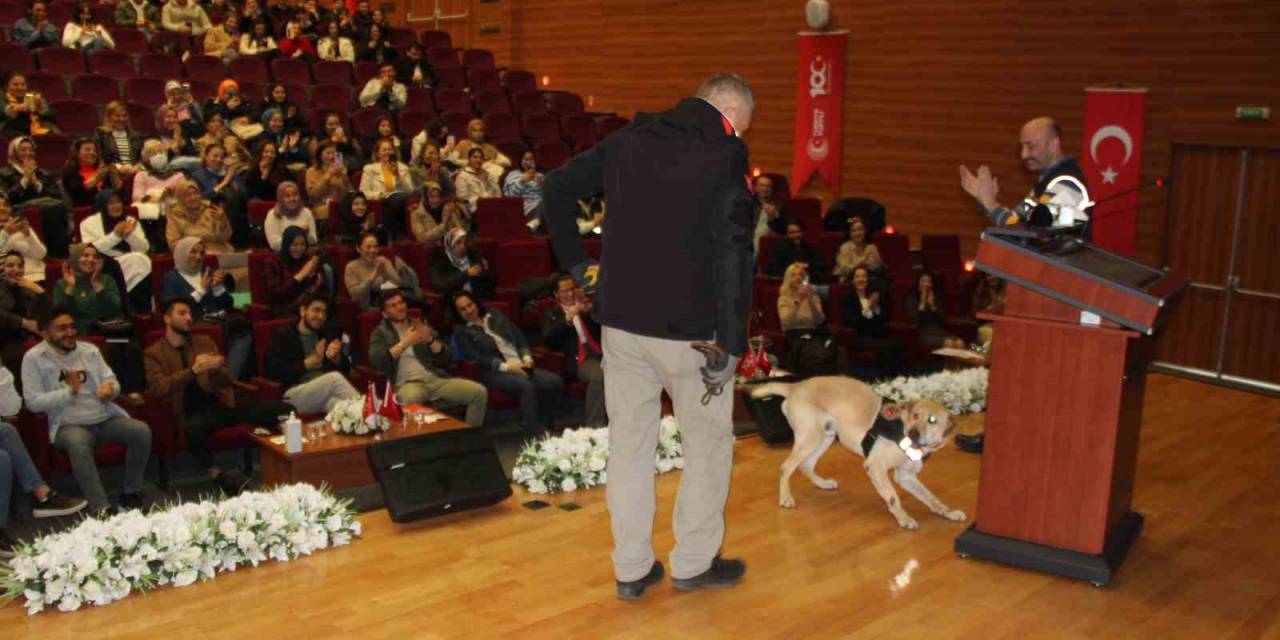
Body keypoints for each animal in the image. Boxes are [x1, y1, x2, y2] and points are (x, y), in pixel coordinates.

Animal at [747, 373, 962, 529]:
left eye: (932, 420)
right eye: (915, 415)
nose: (913, 433)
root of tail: (796, 386)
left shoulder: (906, 476)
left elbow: (930, 497)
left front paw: (948, 511)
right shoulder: (875, 466)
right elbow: (893, 497)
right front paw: (903, 518)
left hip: (825, 437)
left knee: (806, 465)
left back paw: (823, 484)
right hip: (810, 438)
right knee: (786, 467)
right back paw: (785, 498)